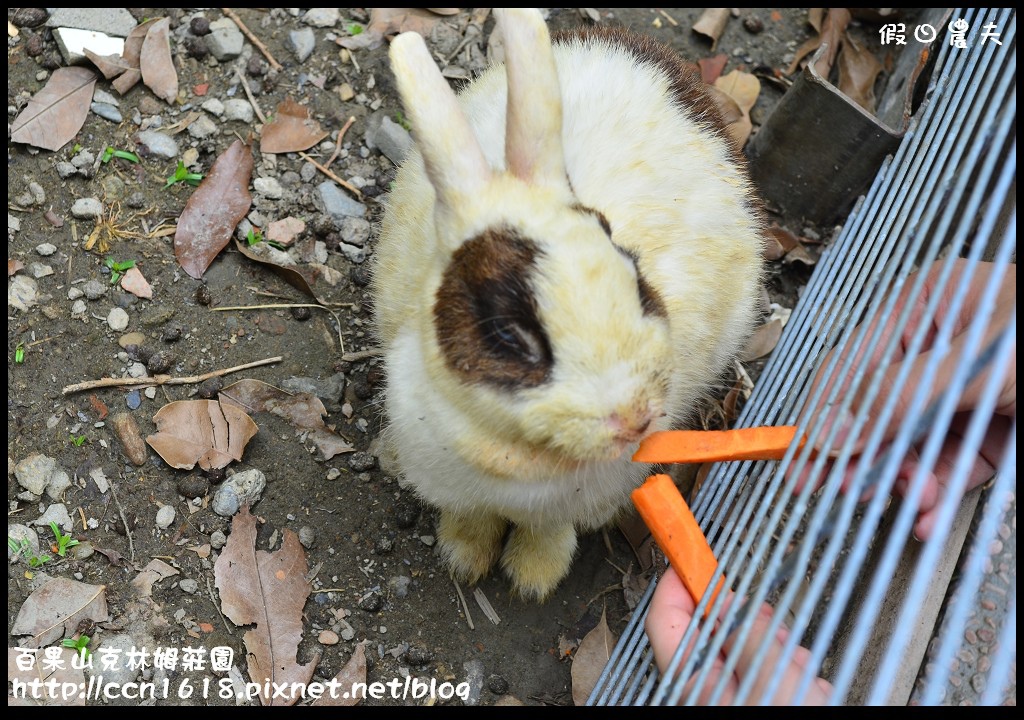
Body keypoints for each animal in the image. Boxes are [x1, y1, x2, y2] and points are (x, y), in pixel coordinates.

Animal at [372, 8, 765, 598]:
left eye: (635, 276)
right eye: (508, 334)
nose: (635, 418)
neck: (517, 459)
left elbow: (548, 530)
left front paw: (533, 577)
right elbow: (471, 518)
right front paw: (464, 556)